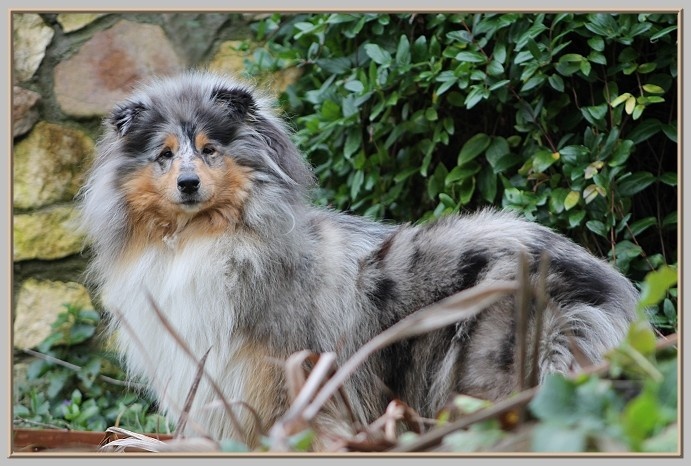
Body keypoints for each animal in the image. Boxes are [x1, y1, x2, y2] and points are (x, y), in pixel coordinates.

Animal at [78, 71, 640, 450]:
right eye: (164, 154)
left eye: (210, 149)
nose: (189, 184)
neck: (201, 237)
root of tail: (605, 280)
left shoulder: (274, 369)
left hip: (494, 363)